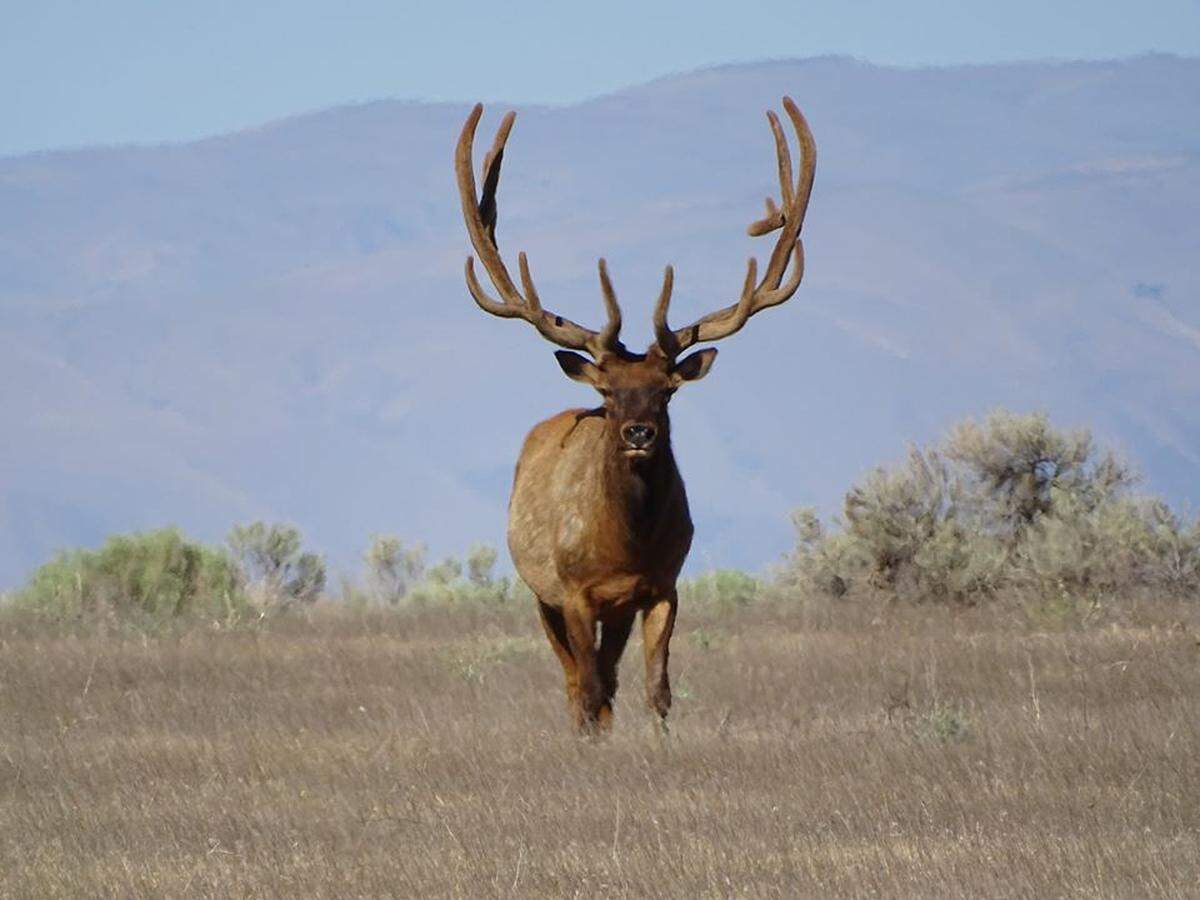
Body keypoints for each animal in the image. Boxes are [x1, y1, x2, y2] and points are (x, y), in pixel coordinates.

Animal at [455, 97, 815, 732]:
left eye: (667, 391)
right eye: (607, 393)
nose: (639, 432)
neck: (623, 548)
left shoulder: (663, 585)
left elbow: (655, 689)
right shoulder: (574, 592)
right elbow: (590, 688)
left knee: (607, 679)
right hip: (541, 594)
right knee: (577, 682)